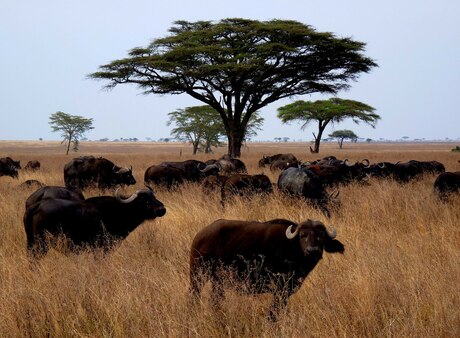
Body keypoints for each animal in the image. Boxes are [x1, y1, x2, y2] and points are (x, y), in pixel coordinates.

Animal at [23, 186, 166, 258]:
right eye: (146, 201)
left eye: (154, 197)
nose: (162, 209)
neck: (120, 211)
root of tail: (37, 205)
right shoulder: (103, 249)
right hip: (41, 244)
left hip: (31, 242)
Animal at [189, 219, 344, 320]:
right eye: (302, 235)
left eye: (321, 235)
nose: (313, 251)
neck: (291, 250)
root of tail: (200, 235)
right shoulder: (279, 290)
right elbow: (273, 313)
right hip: (196, 275)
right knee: (194, 295)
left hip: (218, 282)